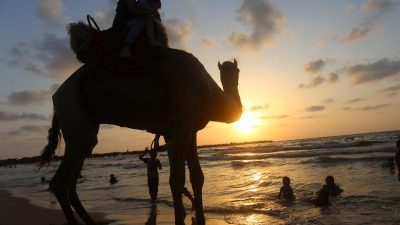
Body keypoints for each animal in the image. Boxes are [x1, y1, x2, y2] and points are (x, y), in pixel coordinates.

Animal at [39, 22, 242, 224]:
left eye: (237, 71)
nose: (233, 75)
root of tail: (56, 96)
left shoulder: (190, 129)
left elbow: (197, 177)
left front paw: (200, 217)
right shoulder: (182, 125)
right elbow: (176, 180)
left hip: (82, 125)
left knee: (72, 182)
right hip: (72, 110)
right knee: (60, 183)